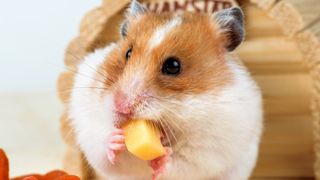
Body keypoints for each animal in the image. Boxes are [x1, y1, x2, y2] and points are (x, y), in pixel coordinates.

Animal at [67, 0, 262, 179]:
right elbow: (102, 151)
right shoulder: (89, 122)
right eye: (128, 53)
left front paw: (163, 158)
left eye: (173, 66)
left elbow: (183, 162)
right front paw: (115, 139)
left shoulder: (212, 144)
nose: (121, 106)